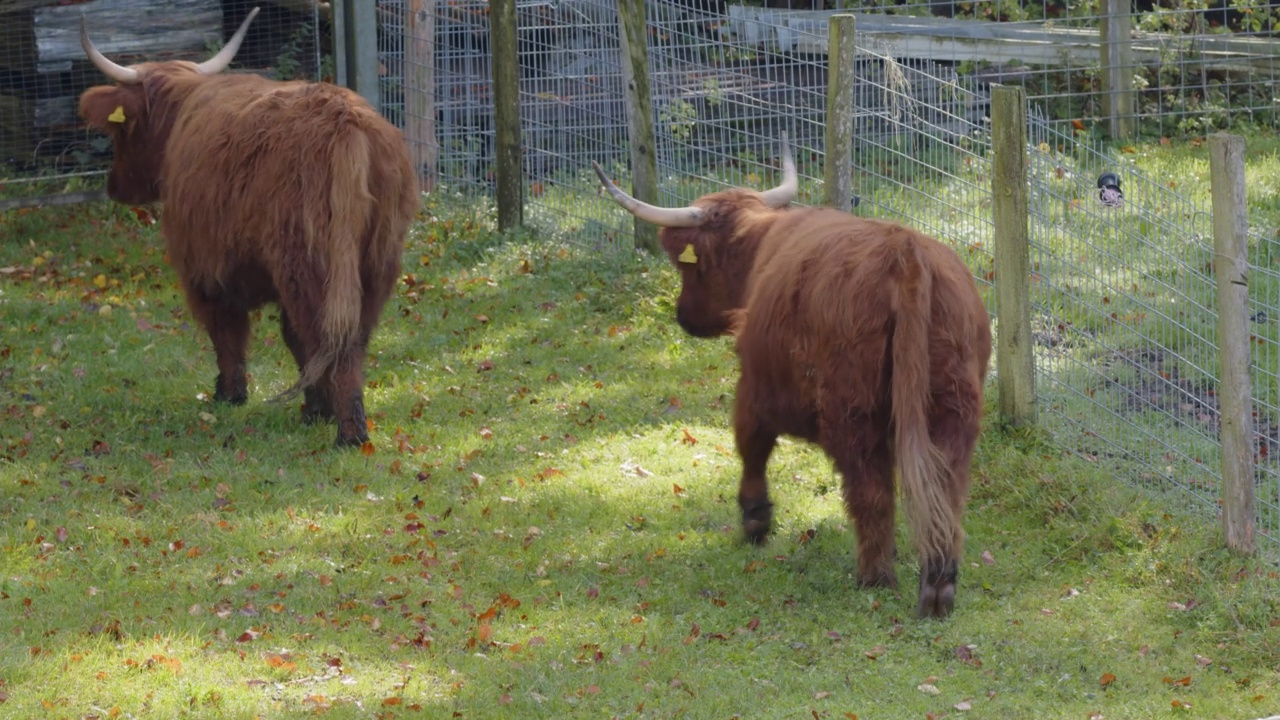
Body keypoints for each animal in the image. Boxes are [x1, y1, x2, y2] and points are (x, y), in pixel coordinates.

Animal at [77, 8, 417, 445]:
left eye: (121, 130)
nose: (114, 186)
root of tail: (345, 124)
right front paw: (313, 408)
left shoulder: (204, 267)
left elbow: (227, 332)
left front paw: (229, 394)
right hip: (375, 262)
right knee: (350, 338)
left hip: (309, 265)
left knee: (328, 339)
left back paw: (349, 434)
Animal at [593, 141, 993, 617]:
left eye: (688, 267)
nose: (683, 318)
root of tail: (906, 253)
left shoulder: (754, 385)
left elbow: (751, 446)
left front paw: (755, 520)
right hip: (953, 406)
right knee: (945, 489)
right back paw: (938, 585)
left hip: (852, 413)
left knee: (871, 490)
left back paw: (875, 577)